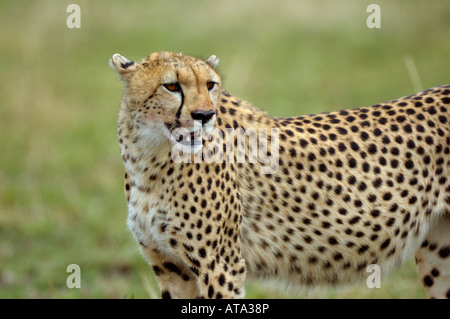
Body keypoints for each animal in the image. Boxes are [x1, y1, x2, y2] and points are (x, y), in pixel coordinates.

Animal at [110, 51, 450, 298]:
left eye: (210, 85)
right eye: (171, 86)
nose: (205, 115)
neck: (149, 157)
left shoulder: (220, 265)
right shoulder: (172, 268)